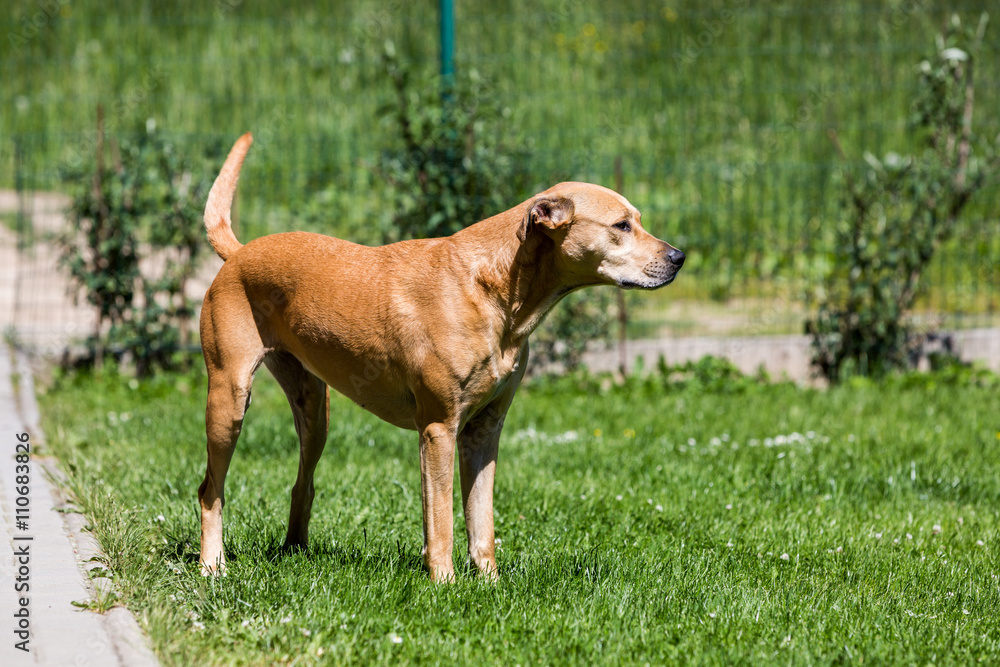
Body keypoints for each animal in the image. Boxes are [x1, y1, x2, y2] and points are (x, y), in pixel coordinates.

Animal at [199, 134, 684, 580]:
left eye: (637, 220)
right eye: (621, 225)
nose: (679, 256)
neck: (496, 288)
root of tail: (239, 253)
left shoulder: (484, 430)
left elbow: (482, 520)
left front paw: (488, 582)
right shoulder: (438, 429)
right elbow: (442, 520)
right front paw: (444, 583)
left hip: (315, 411)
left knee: (302, 484)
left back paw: (295, 552)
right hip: (229, 401)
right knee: (210, 489)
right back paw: (212, 566)